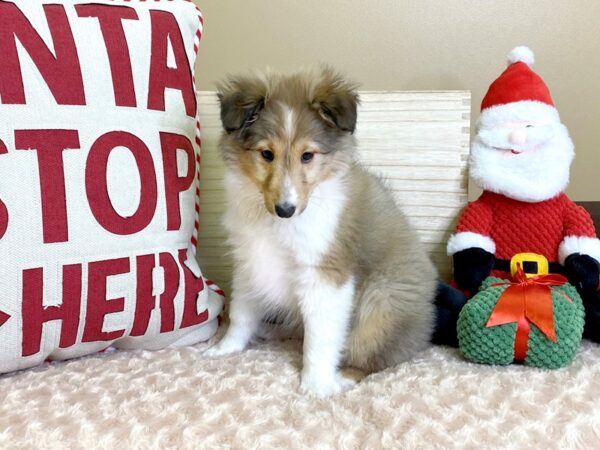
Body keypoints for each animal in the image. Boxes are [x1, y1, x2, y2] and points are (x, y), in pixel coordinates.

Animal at [209, 65, 438, 396]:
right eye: (266, 154)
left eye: (308, 156)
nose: (286, 208)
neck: (279, 224)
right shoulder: (250, 261)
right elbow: (240, 312)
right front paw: (227, 348)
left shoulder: (325, 274)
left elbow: (320, 338)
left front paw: (315, 384)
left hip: (381, 303)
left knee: (372, 358)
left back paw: (341, 378)